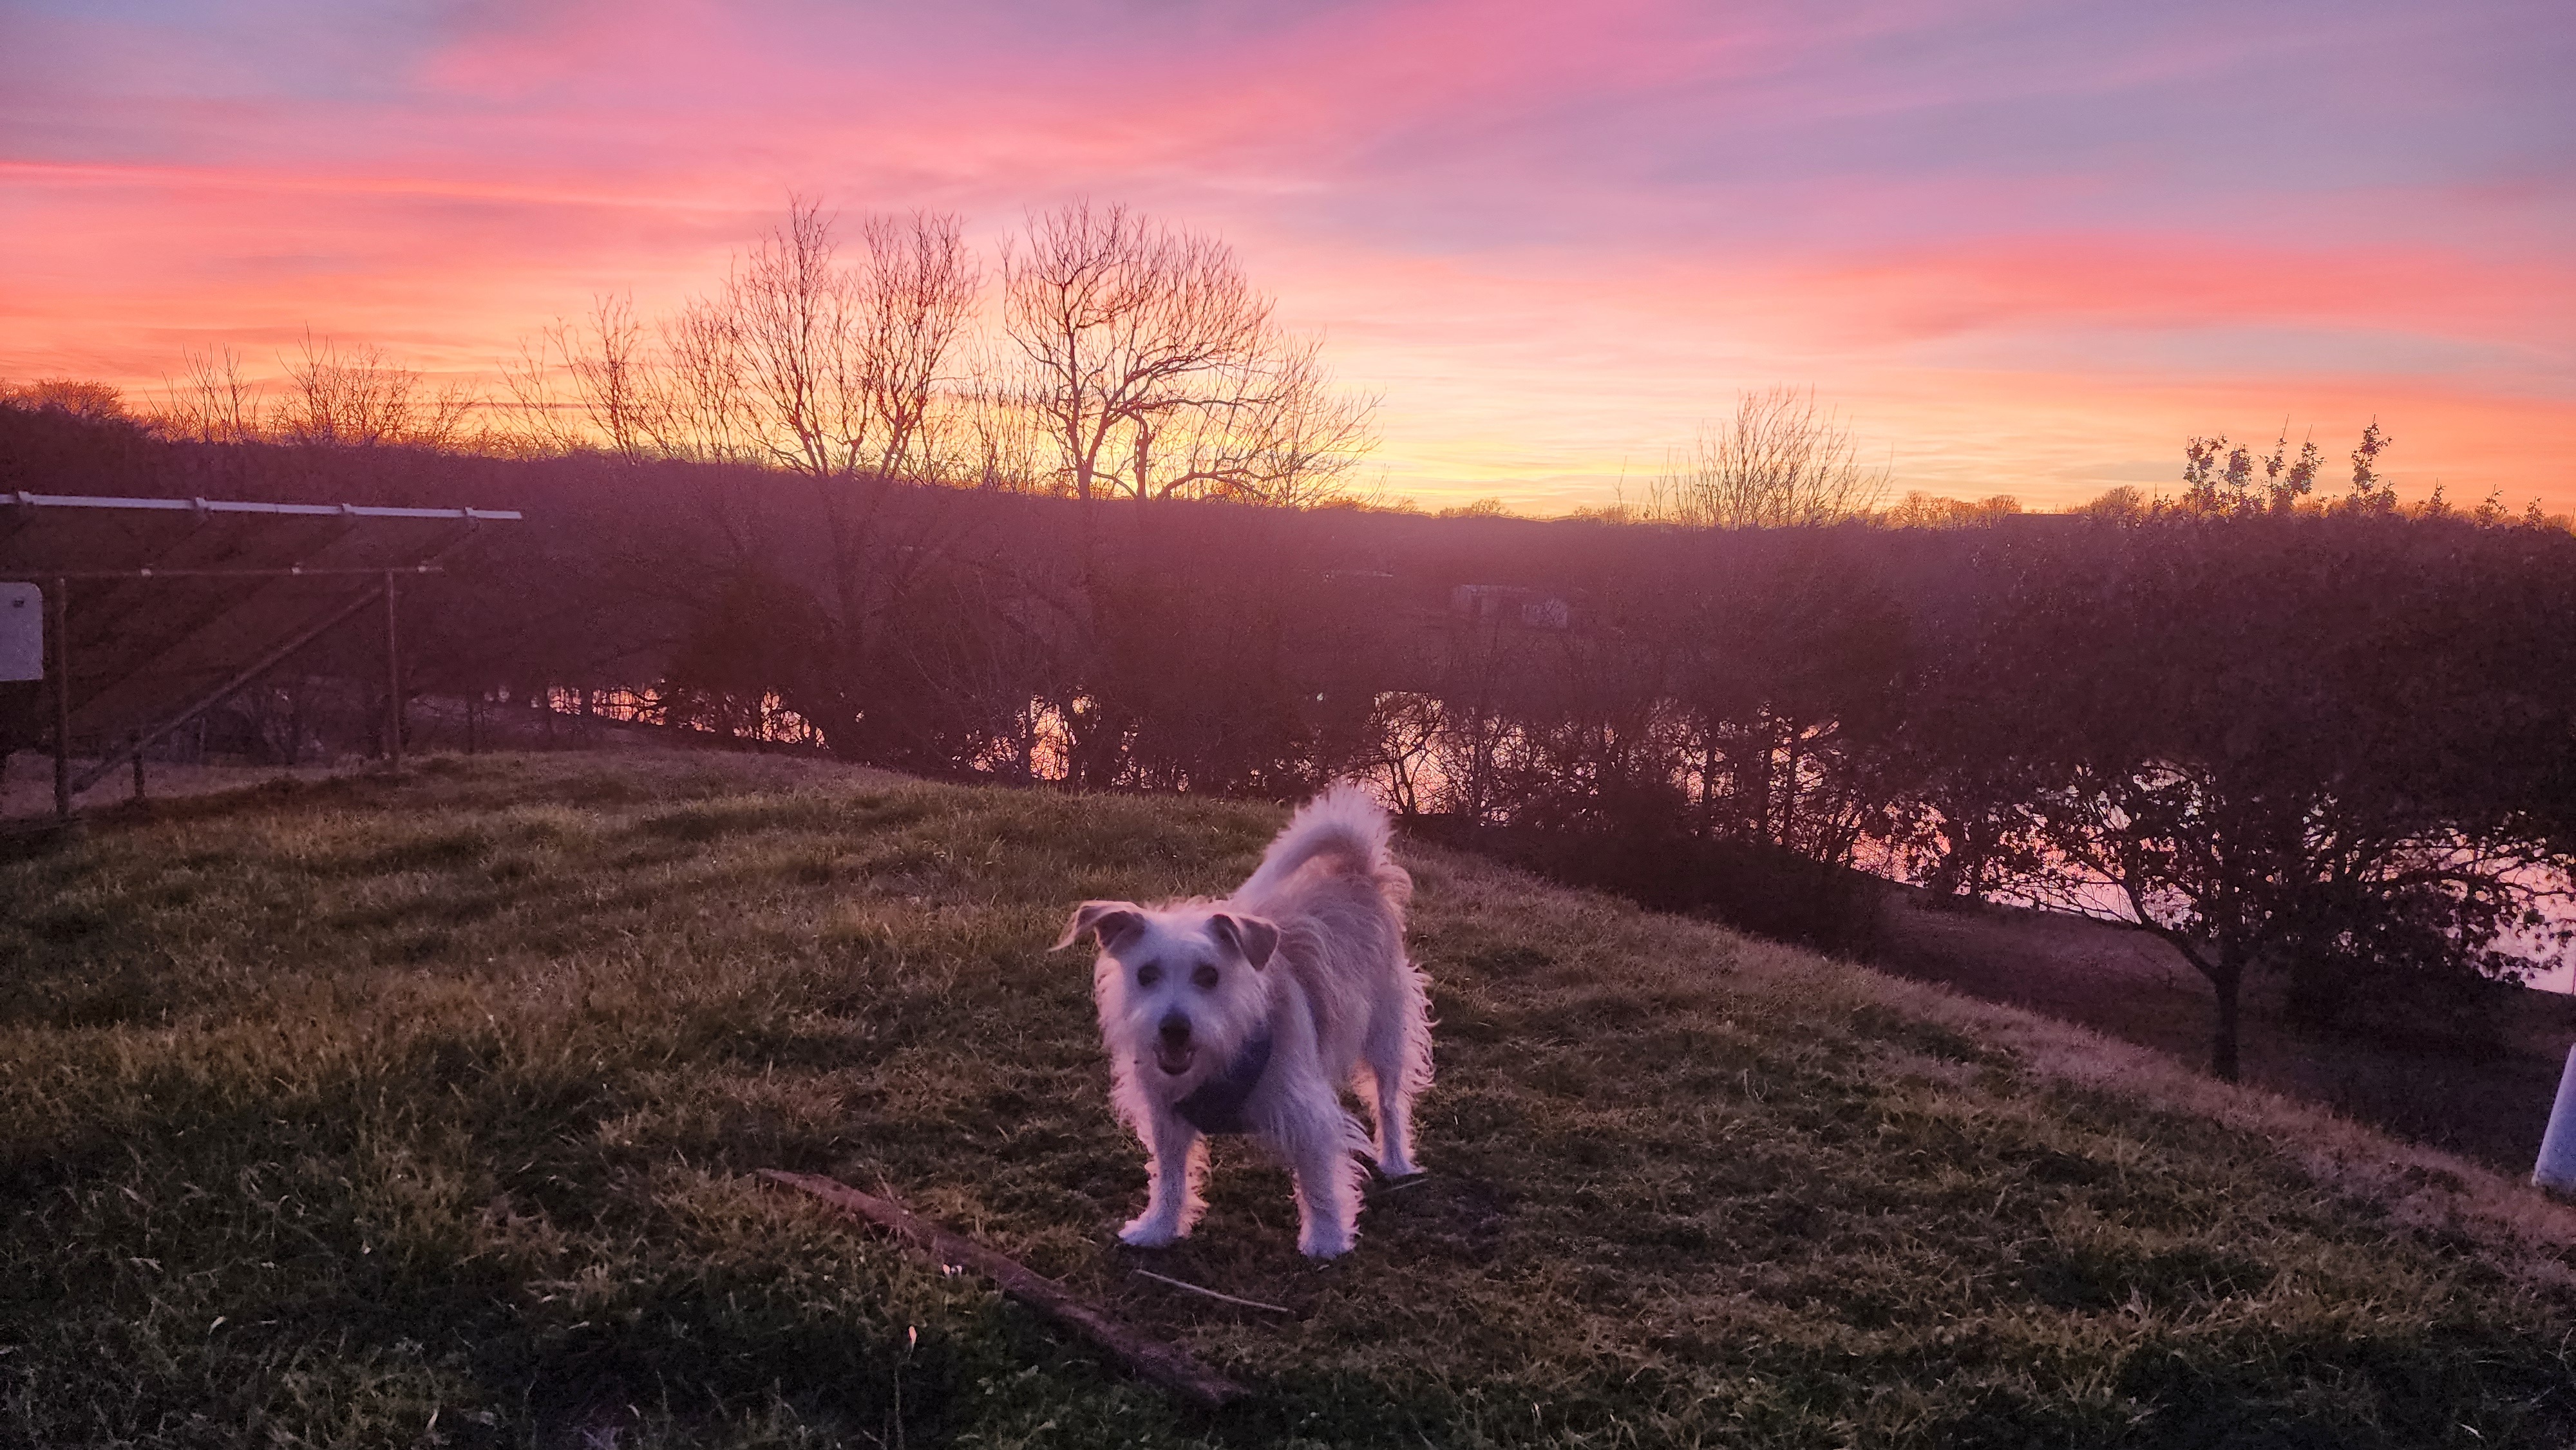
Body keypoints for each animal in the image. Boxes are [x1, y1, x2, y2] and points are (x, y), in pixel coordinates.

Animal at [1056, 783, 1443, 1262]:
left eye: (1209, 975)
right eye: (1146, 975)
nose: (1174, 1028)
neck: (1223, 1049)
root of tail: (1355, 872)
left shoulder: (1308, 1116)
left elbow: (1320, 1183)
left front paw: (1326, 1240)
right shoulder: (1166, 1116)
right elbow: (1170, 1177)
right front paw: (1159, 1227)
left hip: (1386, 1035)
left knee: (1389, 1102)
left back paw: (1396, 1161)